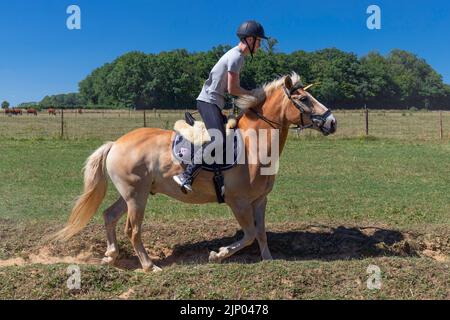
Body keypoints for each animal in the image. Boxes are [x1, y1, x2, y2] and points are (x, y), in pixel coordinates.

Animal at [54, 74, 336, 272]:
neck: (253, 144)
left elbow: (261, 232)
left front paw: (268, 259)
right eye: (304, 99)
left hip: (131, 194)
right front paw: (218, 254)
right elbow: (248, 234)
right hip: (136, 197)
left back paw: (111, 255)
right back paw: (148, 265)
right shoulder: (238, 202)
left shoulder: (259, 200)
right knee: (132, 230)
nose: (332, 122)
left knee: (109, 216)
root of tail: (116, 143)